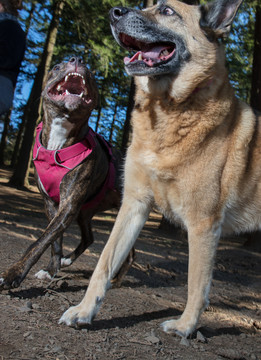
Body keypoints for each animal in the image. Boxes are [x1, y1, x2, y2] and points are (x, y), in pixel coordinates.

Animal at [0, 57, 133, 292]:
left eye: (91, 73)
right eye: (55, 67)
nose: (78, 59)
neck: (59, 140)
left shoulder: (68, 206)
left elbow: (39, 242)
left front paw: (13, 273)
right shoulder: (53, 205)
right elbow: (54, 241)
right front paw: (52, 269)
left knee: (130, 254)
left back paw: (116, 280)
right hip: (84, 213)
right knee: (89, 238)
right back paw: (68, 260)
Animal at [59, 0, 260, 338]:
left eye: (167, 11)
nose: (114, 12)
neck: (168, 110)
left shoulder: (203, 224)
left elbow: (196, 284)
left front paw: (185, 327)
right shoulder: (134, 205)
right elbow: (104, 262)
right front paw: (84, 311)